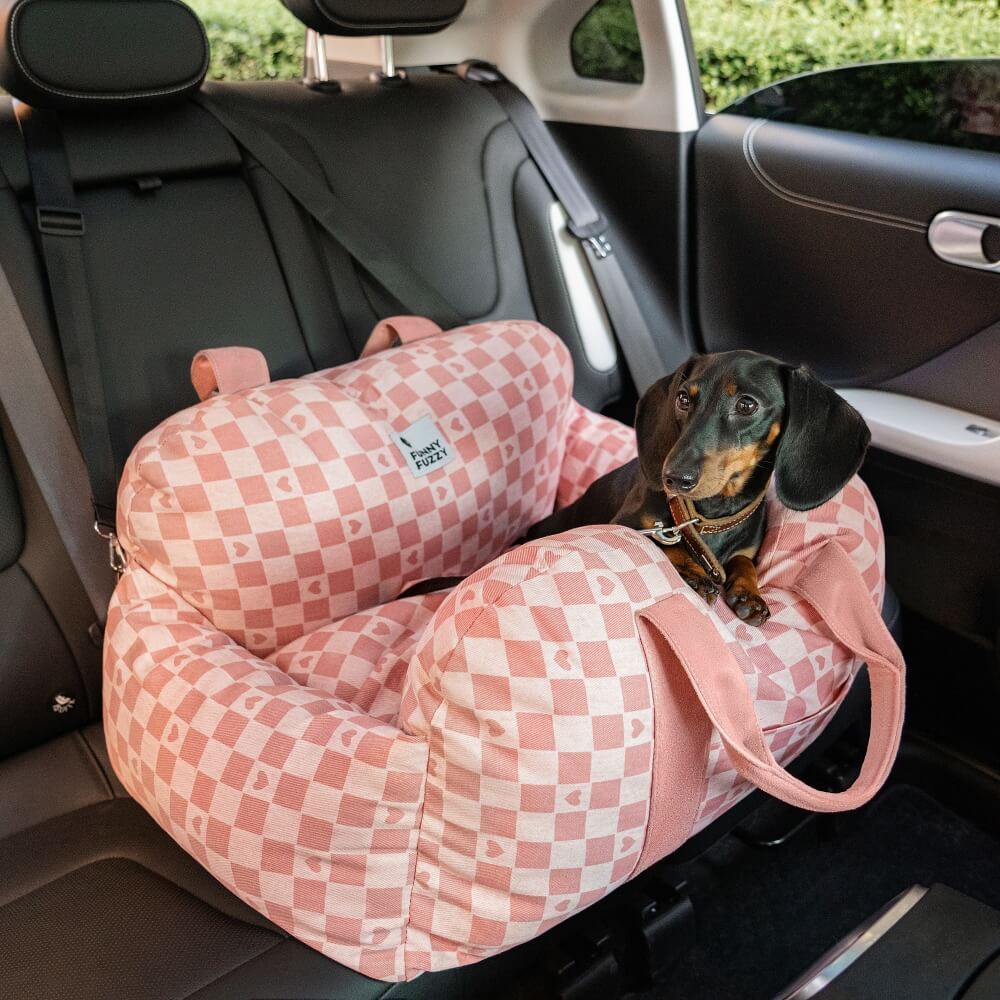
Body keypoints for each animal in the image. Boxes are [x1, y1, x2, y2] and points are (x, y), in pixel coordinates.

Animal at [532, 348, 868, 620]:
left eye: (747, 405)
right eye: (683, 398)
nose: (674, 478)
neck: (708, 516)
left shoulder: (745, 549)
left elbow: (744, 562)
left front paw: (749, 593)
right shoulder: (629, 524)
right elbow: (662, 541)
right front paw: (692, 573)